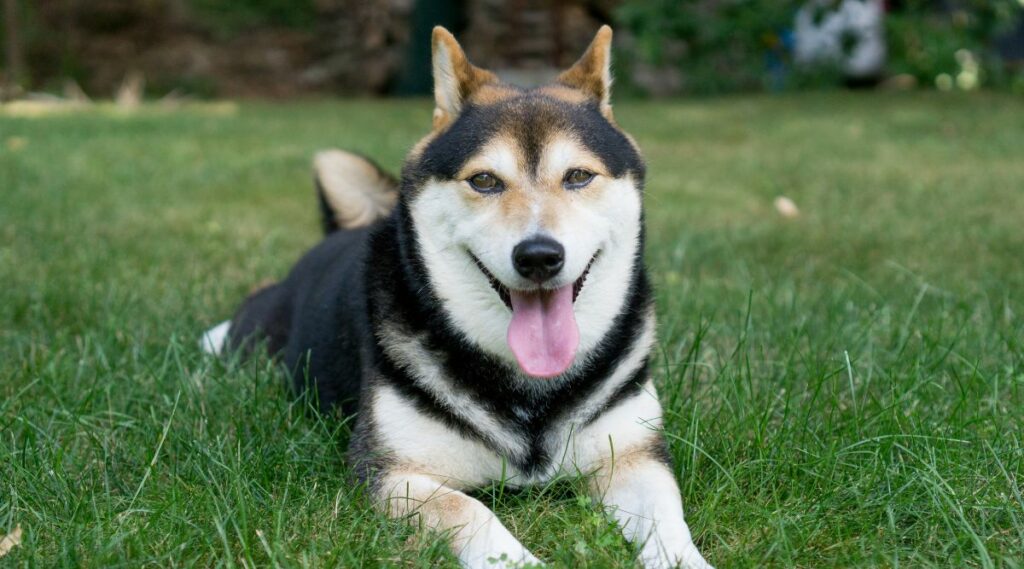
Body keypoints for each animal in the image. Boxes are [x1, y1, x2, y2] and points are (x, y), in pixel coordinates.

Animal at [199, 25, 712, 569]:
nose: (538, 256)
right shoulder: (392, 471)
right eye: (484, 180)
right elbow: (471, 511)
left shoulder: (634, 457)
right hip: (257, 338)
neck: (530, 391)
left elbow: (670, 523)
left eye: (577, 176)